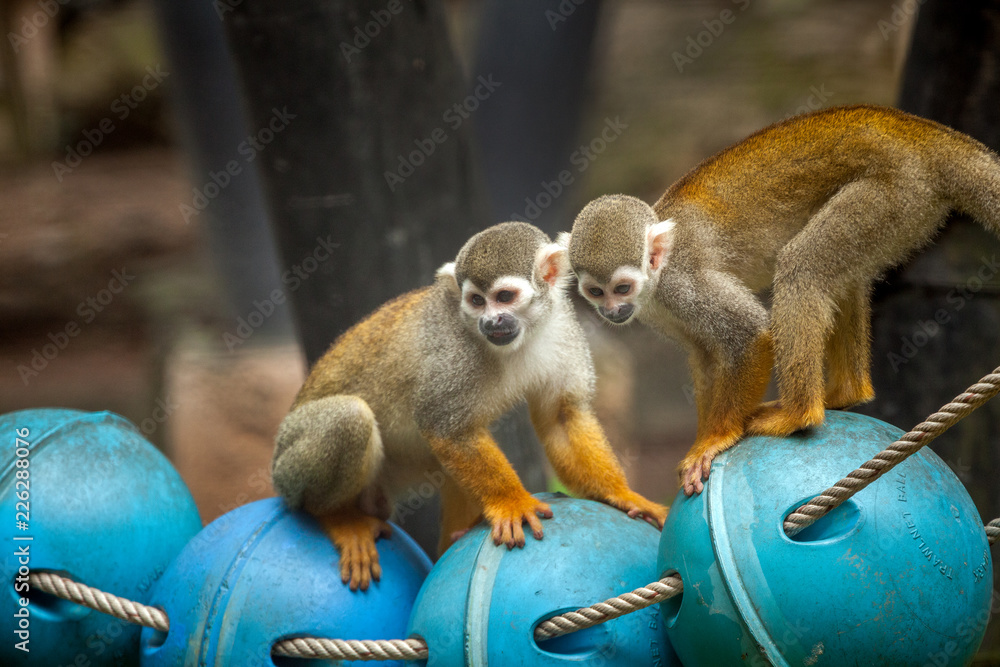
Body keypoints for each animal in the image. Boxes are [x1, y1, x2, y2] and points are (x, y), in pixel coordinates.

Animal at [272, 221, 667, 591]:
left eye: (504, 296)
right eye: (476, 301)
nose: (490, 320)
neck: (523, 335)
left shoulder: (561, 328)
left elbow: (561, 416)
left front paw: (621, 494)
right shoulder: (454, 351)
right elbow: (446, 428)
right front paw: (512, 502)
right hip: (288, 467)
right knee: (349, 417)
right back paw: (336, 517)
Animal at [561, 104, 1000, 497]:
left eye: (621, 287)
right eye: (595, 291)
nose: (612, 311)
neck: (655, 279)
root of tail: (921, 133)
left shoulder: (683, 284)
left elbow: (749, 334)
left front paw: (716, 439)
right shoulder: (661, 310)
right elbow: (704, 354)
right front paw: (701, 440)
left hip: (894, 191)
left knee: (801, 267)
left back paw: (798, 414)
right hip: (907, 208)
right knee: (841, 275)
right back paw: (847, 392)